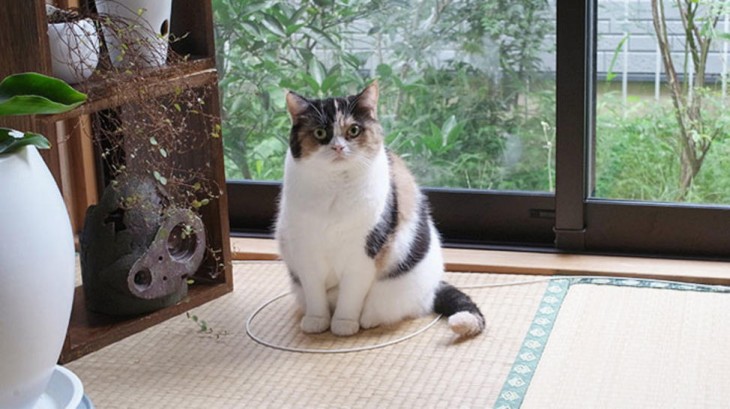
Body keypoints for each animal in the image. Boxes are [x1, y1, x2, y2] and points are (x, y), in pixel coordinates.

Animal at [272, 81, 484, 336]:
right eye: (320, 133)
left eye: (354, 130)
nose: (338, 148)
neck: (335, 190)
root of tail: (434, 286)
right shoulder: (306, 251)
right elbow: (314, 292)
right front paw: (317, 321)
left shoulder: (364, 252)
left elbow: (351, 295)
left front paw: (344, 324)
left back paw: (368, 319)